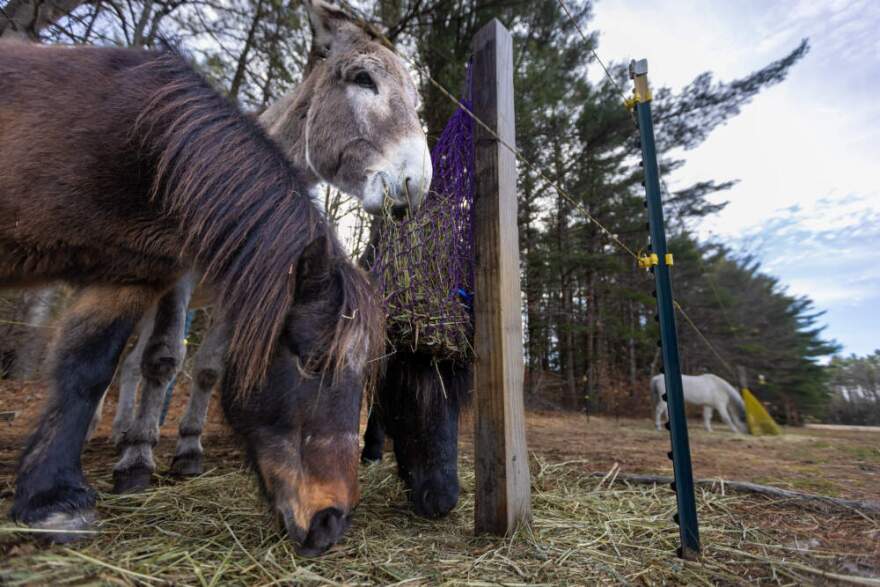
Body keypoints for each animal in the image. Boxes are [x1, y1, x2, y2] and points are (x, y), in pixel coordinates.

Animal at [0, 41, 390, 554]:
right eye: (310, 360)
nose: (331, 521)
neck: (145, 147)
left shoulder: (126, 278)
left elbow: (87, 370)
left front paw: (51, 497)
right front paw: (62, 499)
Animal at [83, 0, 432, 495]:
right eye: (364, 79)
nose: (417, 185)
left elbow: (208, 367)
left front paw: (187, 450)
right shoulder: (182, 273)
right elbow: (165, 359)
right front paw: (137, 462)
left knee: (130, 363)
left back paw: (121, 431)